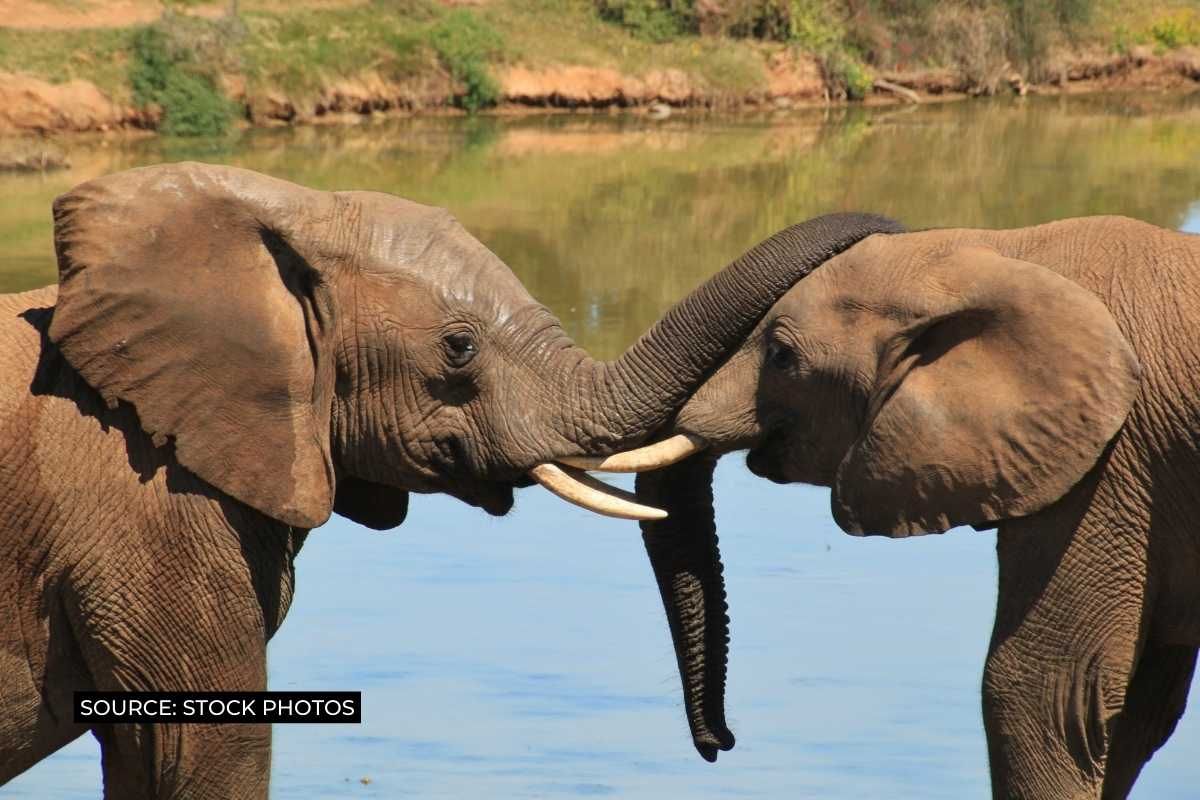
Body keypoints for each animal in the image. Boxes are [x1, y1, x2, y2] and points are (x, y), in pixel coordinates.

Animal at [579, 216, 1200, 798]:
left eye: (780, 356)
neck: (1004, 253)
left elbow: (1041, 690)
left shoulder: (1111, 465)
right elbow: (1136, 710)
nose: (720, 743)